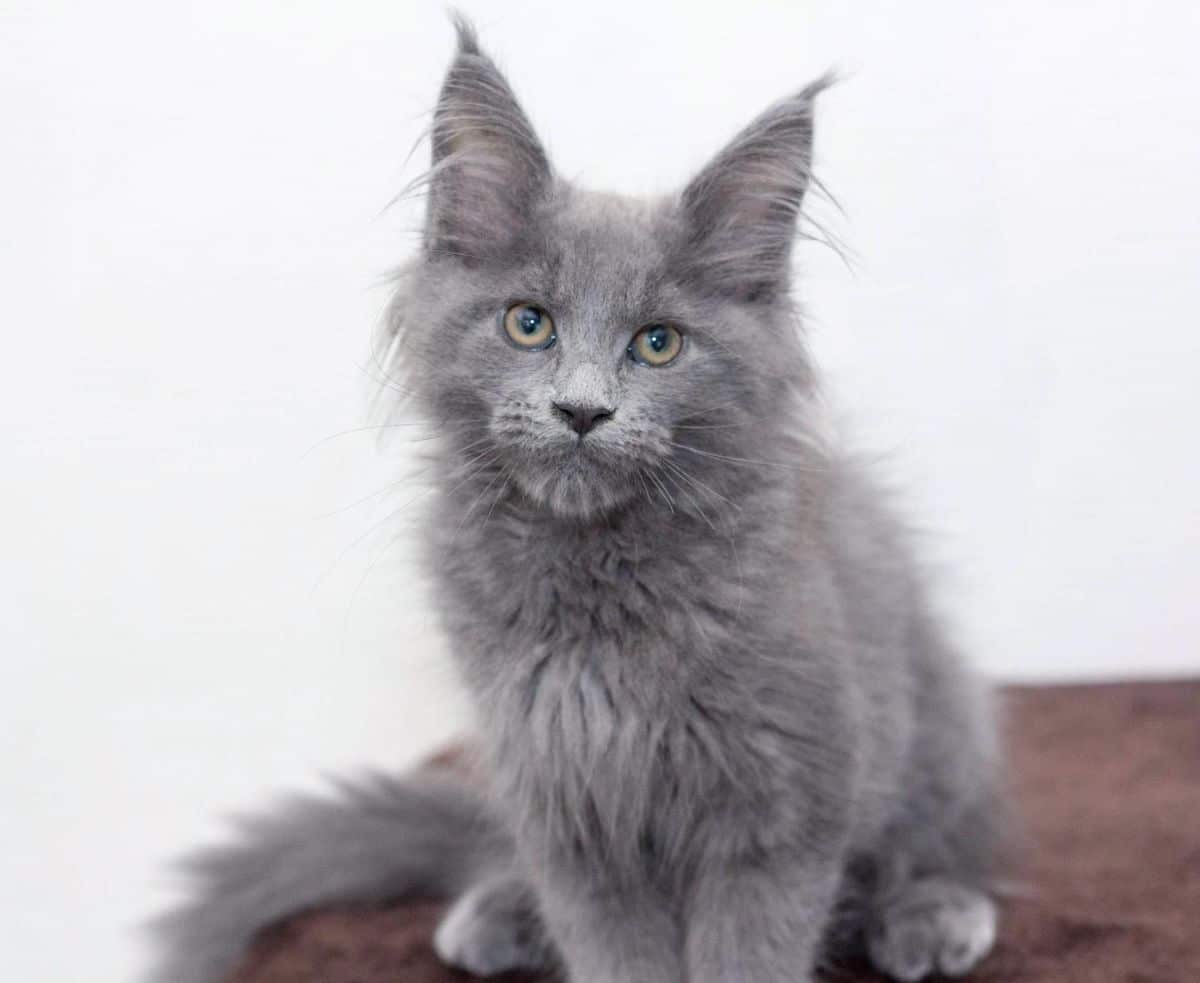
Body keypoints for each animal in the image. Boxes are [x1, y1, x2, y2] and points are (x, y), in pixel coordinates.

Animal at [145, 17, 1008, 983]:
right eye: (529, 323)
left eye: (659, 343)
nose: (583, 409)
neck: (596, 584)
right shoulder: (567, 809)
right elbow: (610, 950)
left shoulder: (782, 805)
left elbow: (750, 951)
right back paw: (496, 914)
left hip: (941, 720)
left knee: (940, 842)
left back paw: (930, 912)